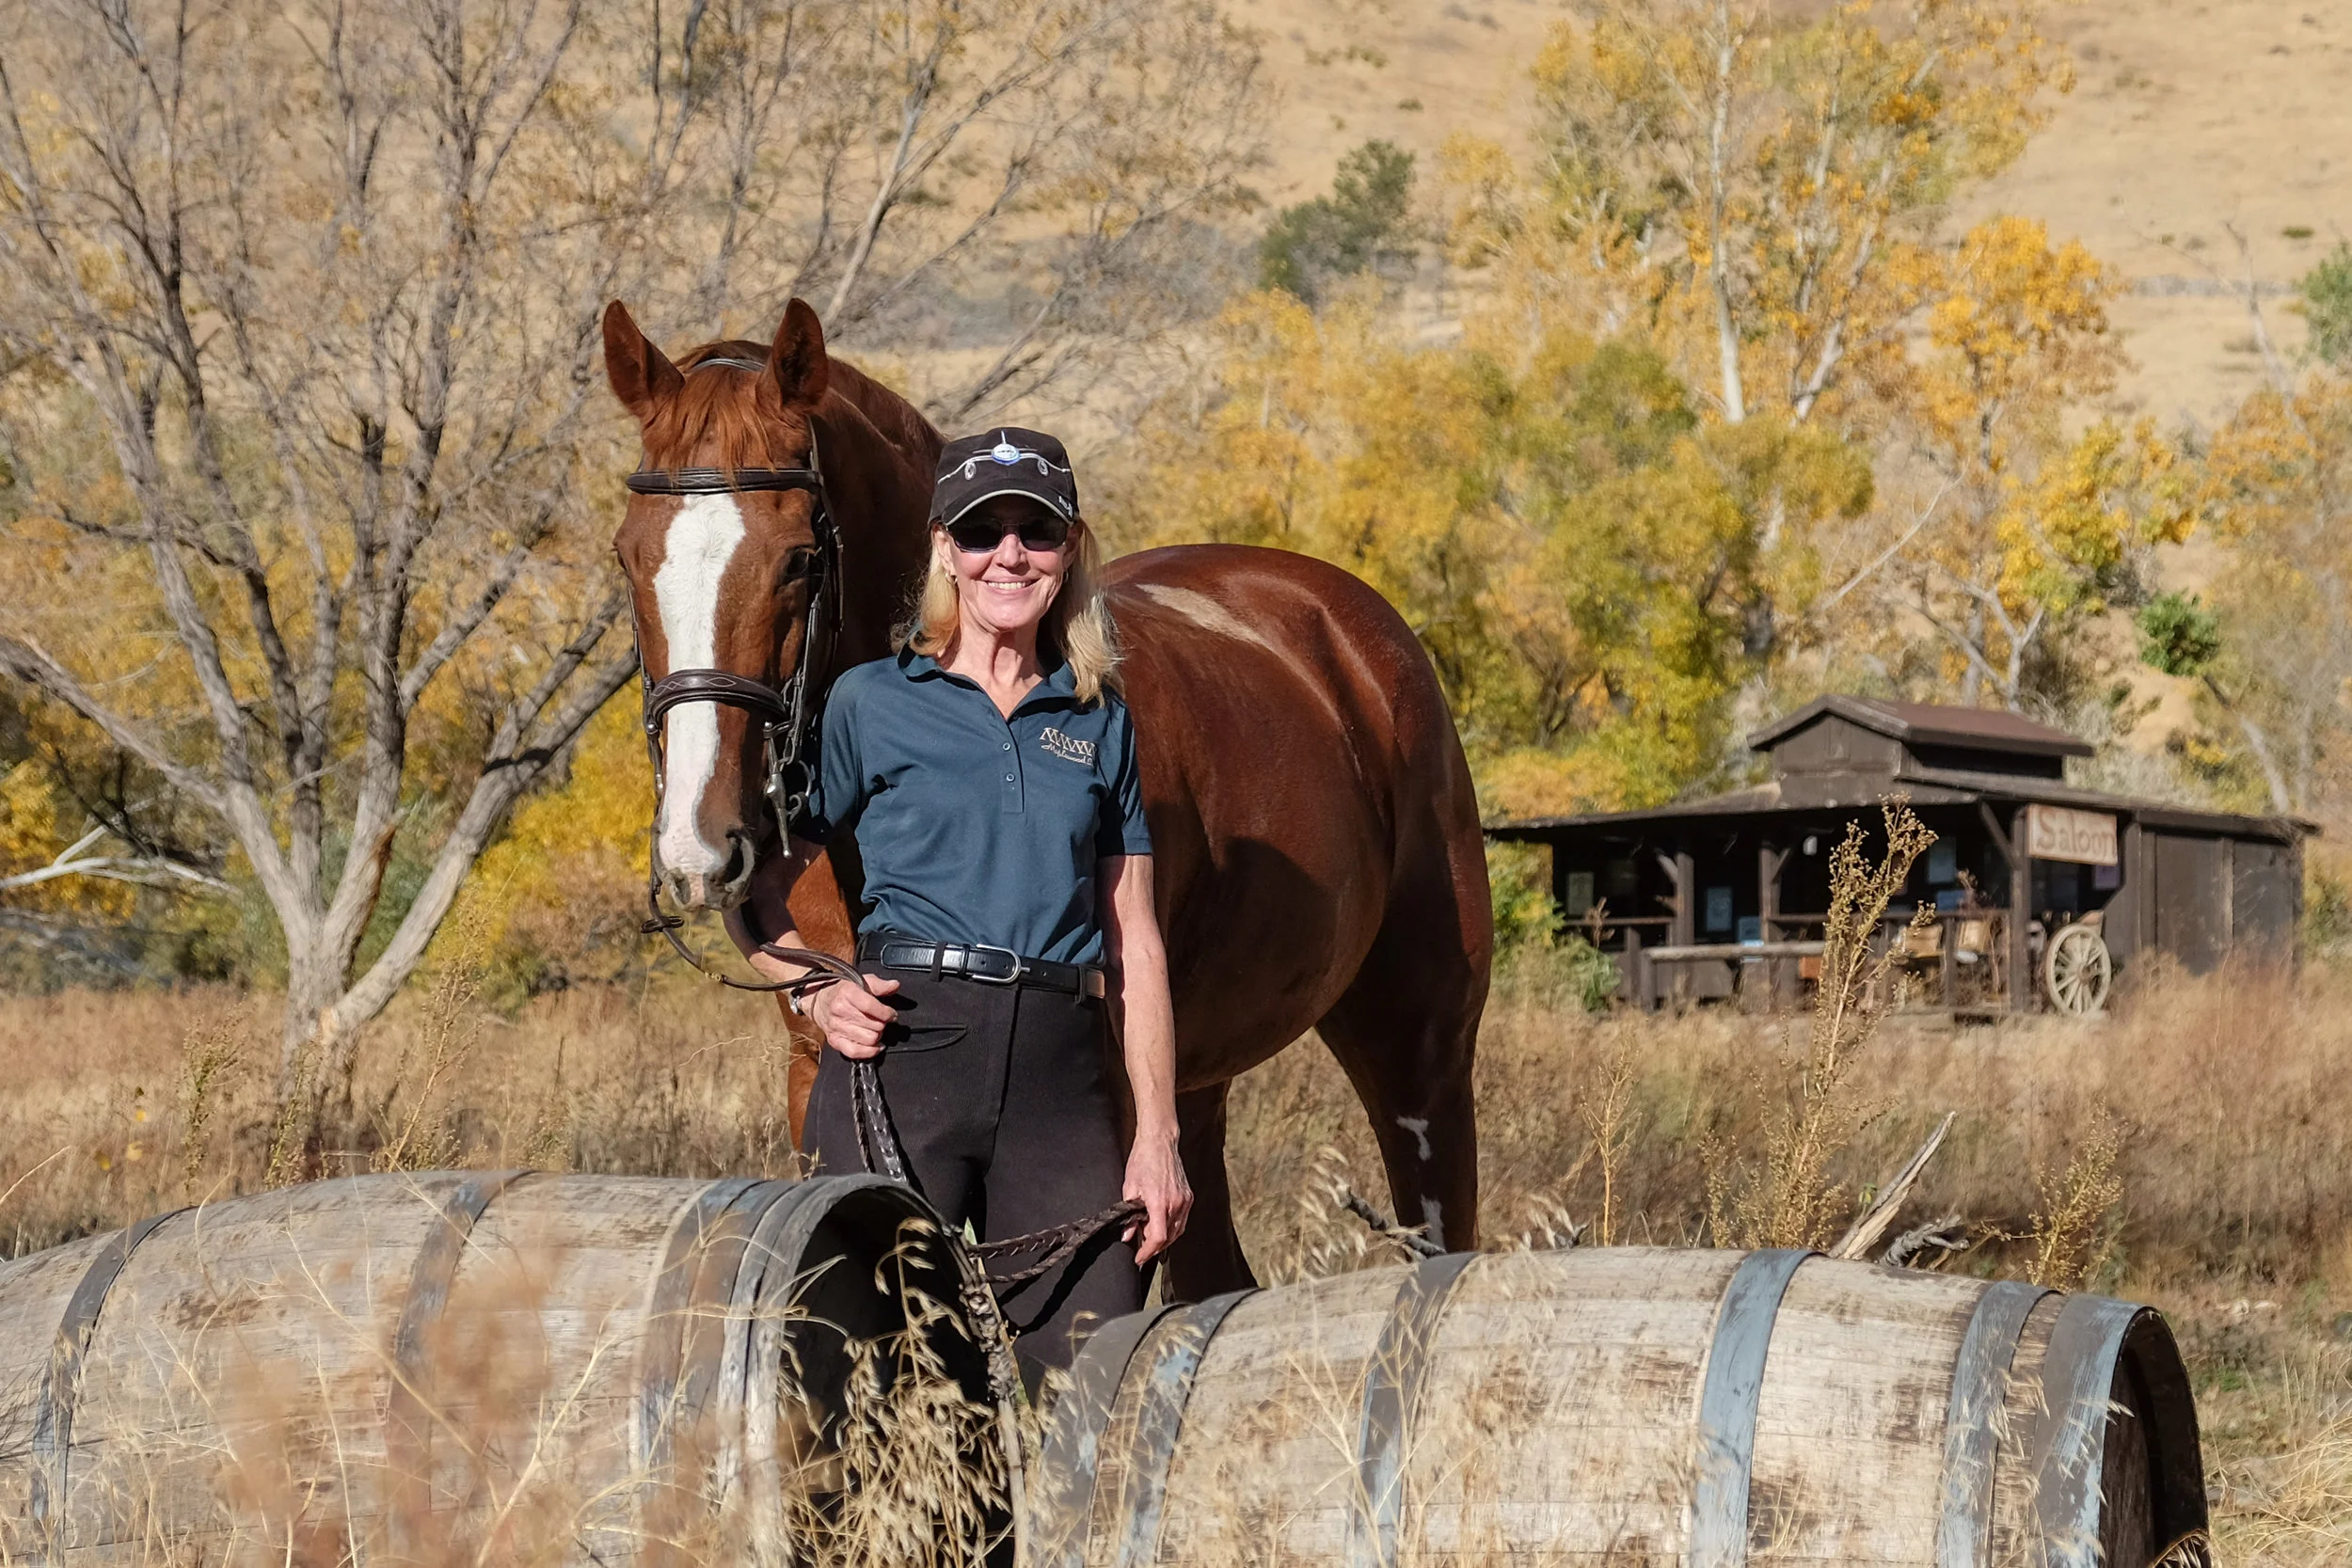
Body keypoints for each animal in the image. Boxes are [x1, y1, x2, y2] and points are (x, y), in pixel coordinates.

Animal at [603, 297, 1491, 1299]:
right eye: (629, 557)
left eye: (797, 559)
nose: (701, 847)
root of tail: (1352, 628)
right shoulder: (818, 1069)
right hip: (1193, 1084)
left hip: (1420, 1055)